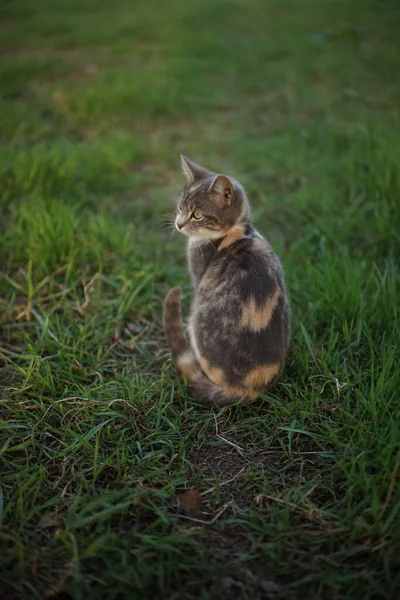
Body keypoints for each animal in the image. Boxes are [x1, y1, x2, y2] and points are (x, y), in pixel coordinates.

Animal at [163, 157, 290, 406]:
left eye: (197, 215)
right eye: (181, 208)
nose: (179, 224)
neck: (239, 230)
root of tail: (250, 388)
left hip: (196, 319)